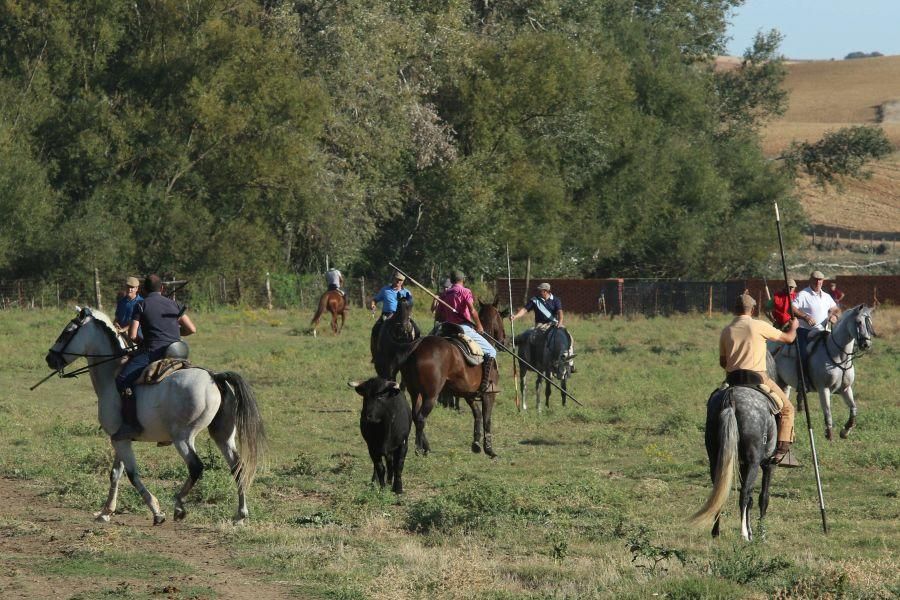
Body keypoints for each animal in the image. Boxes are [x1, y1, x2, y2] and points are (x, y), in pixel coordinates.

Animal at [45, 310, 264, 524]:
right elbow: (115, 474)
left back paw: (179, 505)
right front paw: (106, 512)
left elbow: (132, 475)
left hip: (183, 437)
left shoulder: (120, 440)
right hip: (223, 435)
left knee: (196, 467)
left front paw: (156, 511)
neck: (111, 374)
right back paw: (240, 515)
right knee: (237, 467)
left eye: (67, 332)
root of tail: (214, 377)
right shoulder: (119, 438)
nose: (50, 359)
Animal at [692, 386, 776, 540]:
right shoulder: (769, 465)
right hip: (753, 463)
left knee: (719, 493)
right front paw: (761, 533)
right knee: (744, 494)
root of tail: (731, 395)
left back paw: (716, 531)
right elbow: (763, 498)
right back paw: (744, 535)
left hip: (716, 460)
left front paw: (752, 530)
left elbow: (752, 500)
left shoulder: (743, 465)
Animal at [768, 304, 876, 440]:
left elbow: (854, 409)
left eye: (870, 323)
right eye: (859, 322)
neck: (838, 355)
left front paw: (845, 431)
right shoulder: (823, 388)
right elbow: (827, 410)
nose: (866, 344)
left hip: (783, 383)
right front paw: (829, 434)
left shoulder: (846, 389)